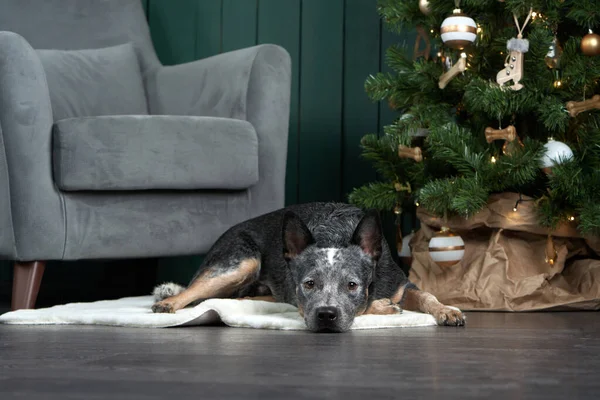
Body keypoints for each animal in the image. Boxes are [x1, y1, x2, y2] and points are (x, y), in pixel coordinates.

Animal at [152, 203, 466, 332]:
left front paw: (447, 311)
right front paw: (384, 307)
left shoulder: (401, 283)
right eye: (309, 284)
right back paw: (167, 303)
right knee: (194, 292)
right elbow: (367, 306)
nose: (326, 316)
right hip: (241, 261)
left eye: (352, 285)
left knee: (241, 298)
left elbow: (426, 295)